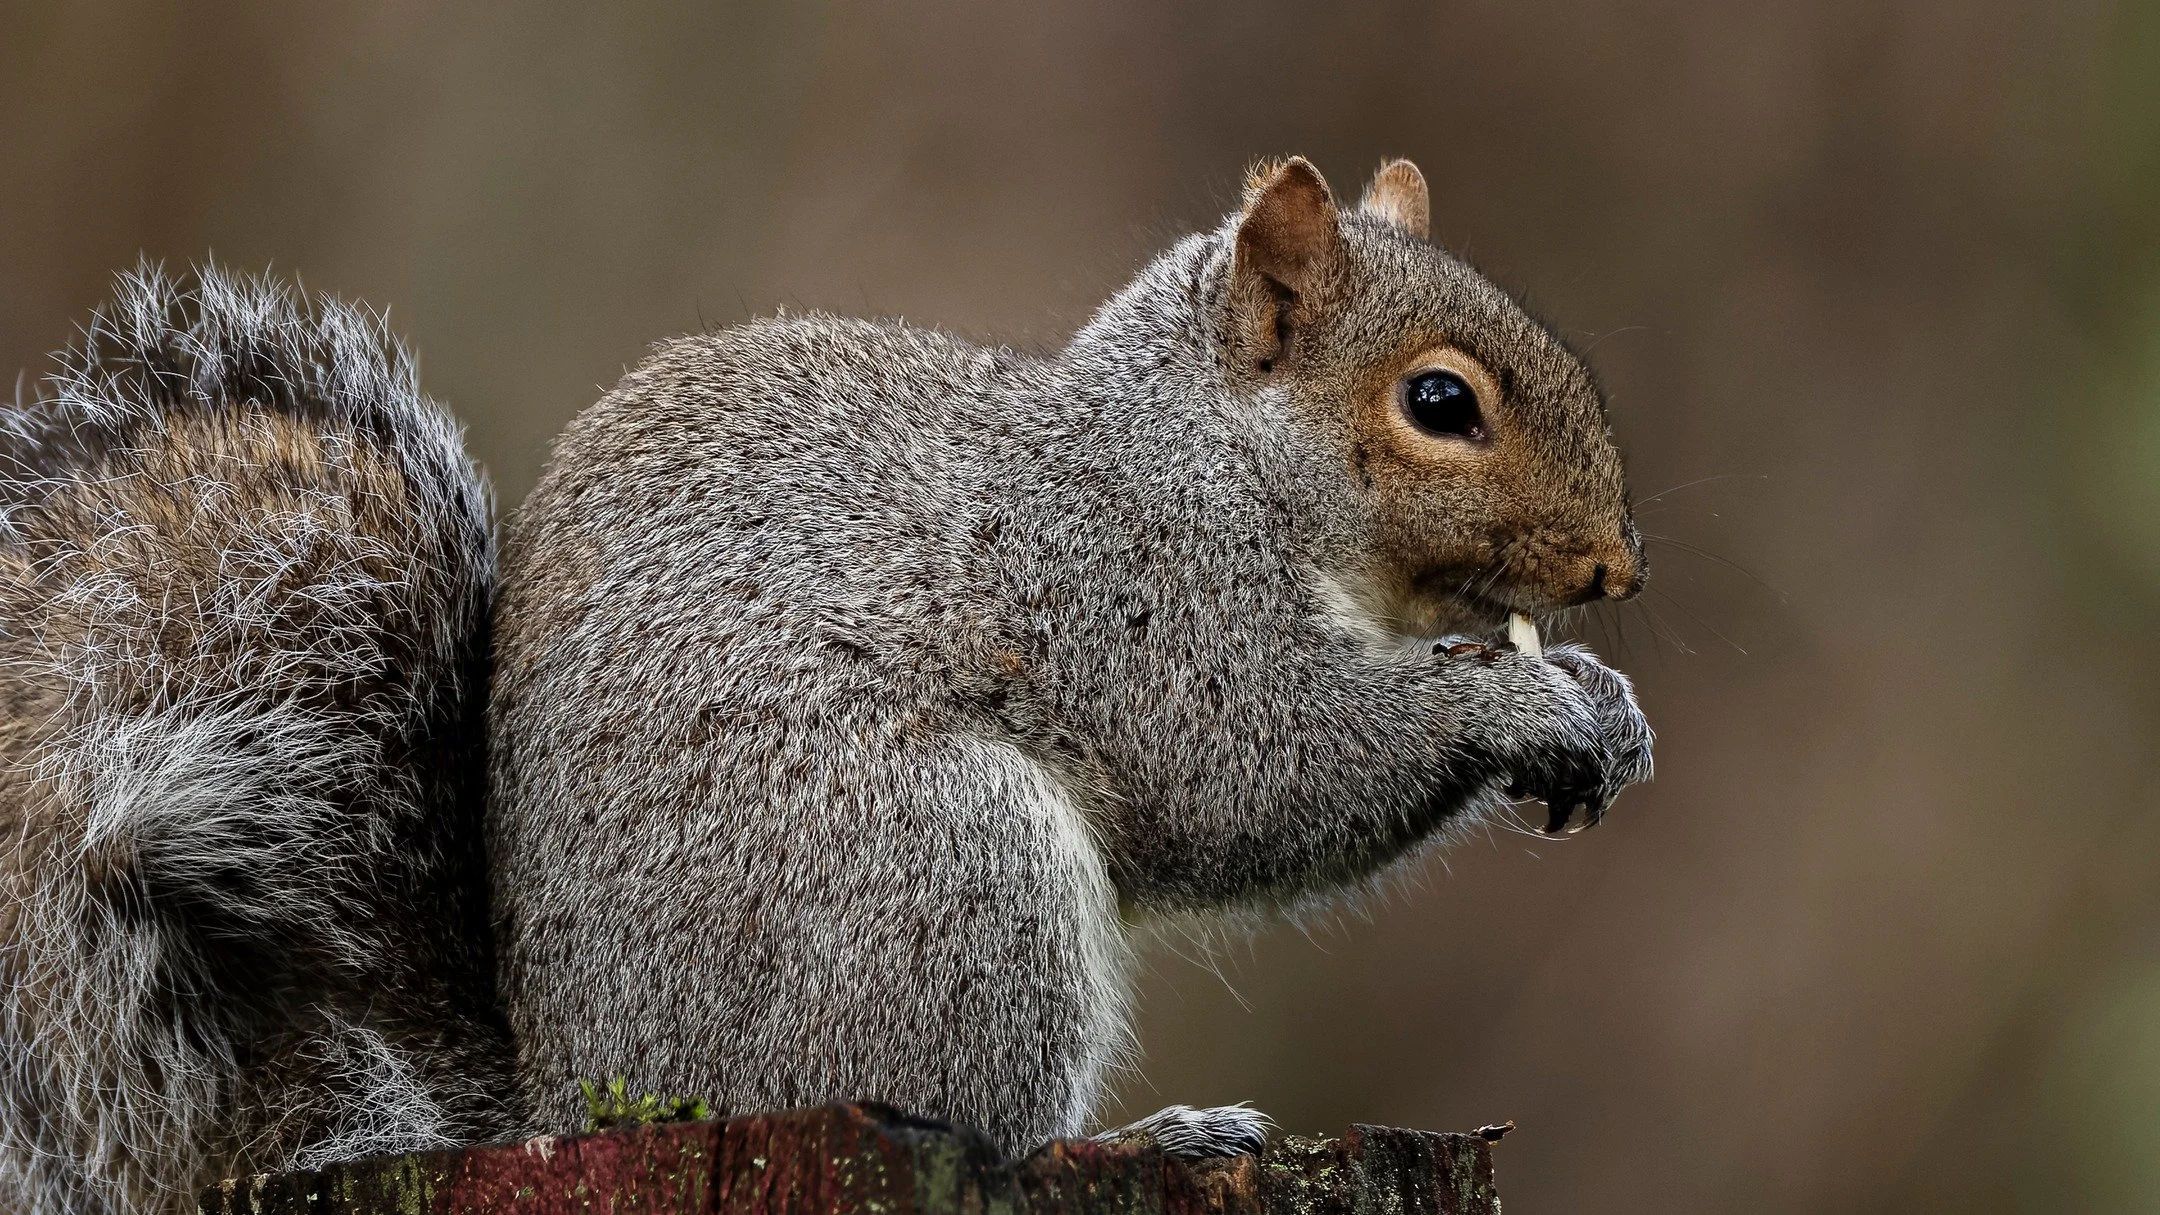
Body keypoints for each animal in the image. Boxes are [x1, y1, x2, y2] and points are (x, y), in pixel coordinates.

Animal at [1, 157, 1651, 1214]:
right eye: (1438, 401)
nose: (1619, 565)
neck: (1203, 453)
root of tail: (585, 1093)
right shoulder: (1124, 591)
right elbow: (1254, 768)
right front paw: (1512, 707)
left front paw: (1600, 699)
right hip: (940, 875)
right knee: (978, 1121)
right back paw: (1170, 1133)